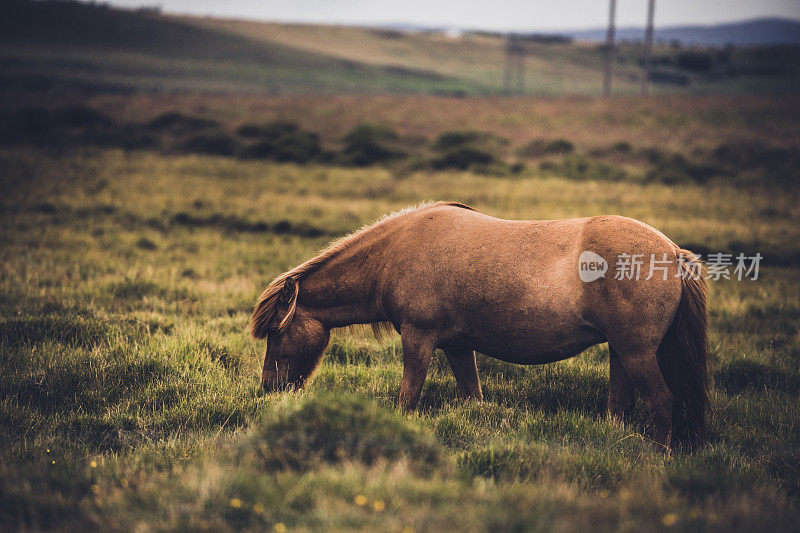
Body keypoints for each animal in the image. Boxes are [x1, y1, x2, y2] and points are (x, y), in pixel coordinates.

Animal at [250, 202, 708, 446]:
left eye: (275, 332)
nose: (269, 389)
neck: (396, 252)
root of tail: (672, 252)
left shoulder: (419, 340)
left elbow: (408, 396)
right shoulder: (456, 346)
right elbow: (472, 395)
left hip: (637, 353)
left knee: (662, 401)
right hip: (620, 352)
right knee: (619, 404)